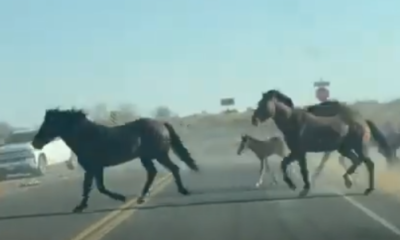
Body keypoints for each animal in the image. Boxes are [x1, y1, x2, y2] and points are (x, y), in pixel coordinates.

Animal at [31, 108, 200, 212]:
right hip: (146, 157)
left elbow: (96, 187)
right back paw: (142, 197)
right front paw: (81, 206)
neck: (86, 136)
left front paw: (120, 198)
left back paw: (183, 191)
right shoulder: (93, 169)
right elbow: (91, 187)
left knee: (173, 168)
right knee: (153, 172)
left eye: (49, 122)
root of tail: (161, 124)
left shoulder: (94, 167)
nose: (35, 143)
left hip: (159, 154)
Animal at [252, 90, 396, 197]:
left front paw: (301, 188)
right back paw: (348, 181)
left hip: (359, 147)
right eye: (259, 102)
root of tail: (363, 121)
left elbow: (301, 169)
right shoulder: (296, 152)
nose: (254, 120)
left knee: (369, 164)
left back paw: (368, 189)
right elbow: (285, 164)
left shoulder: (299, 152)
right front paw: (295, 186)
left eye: (264, 104)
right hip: (344, 149)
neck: (292, 121)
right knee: (356, 160)